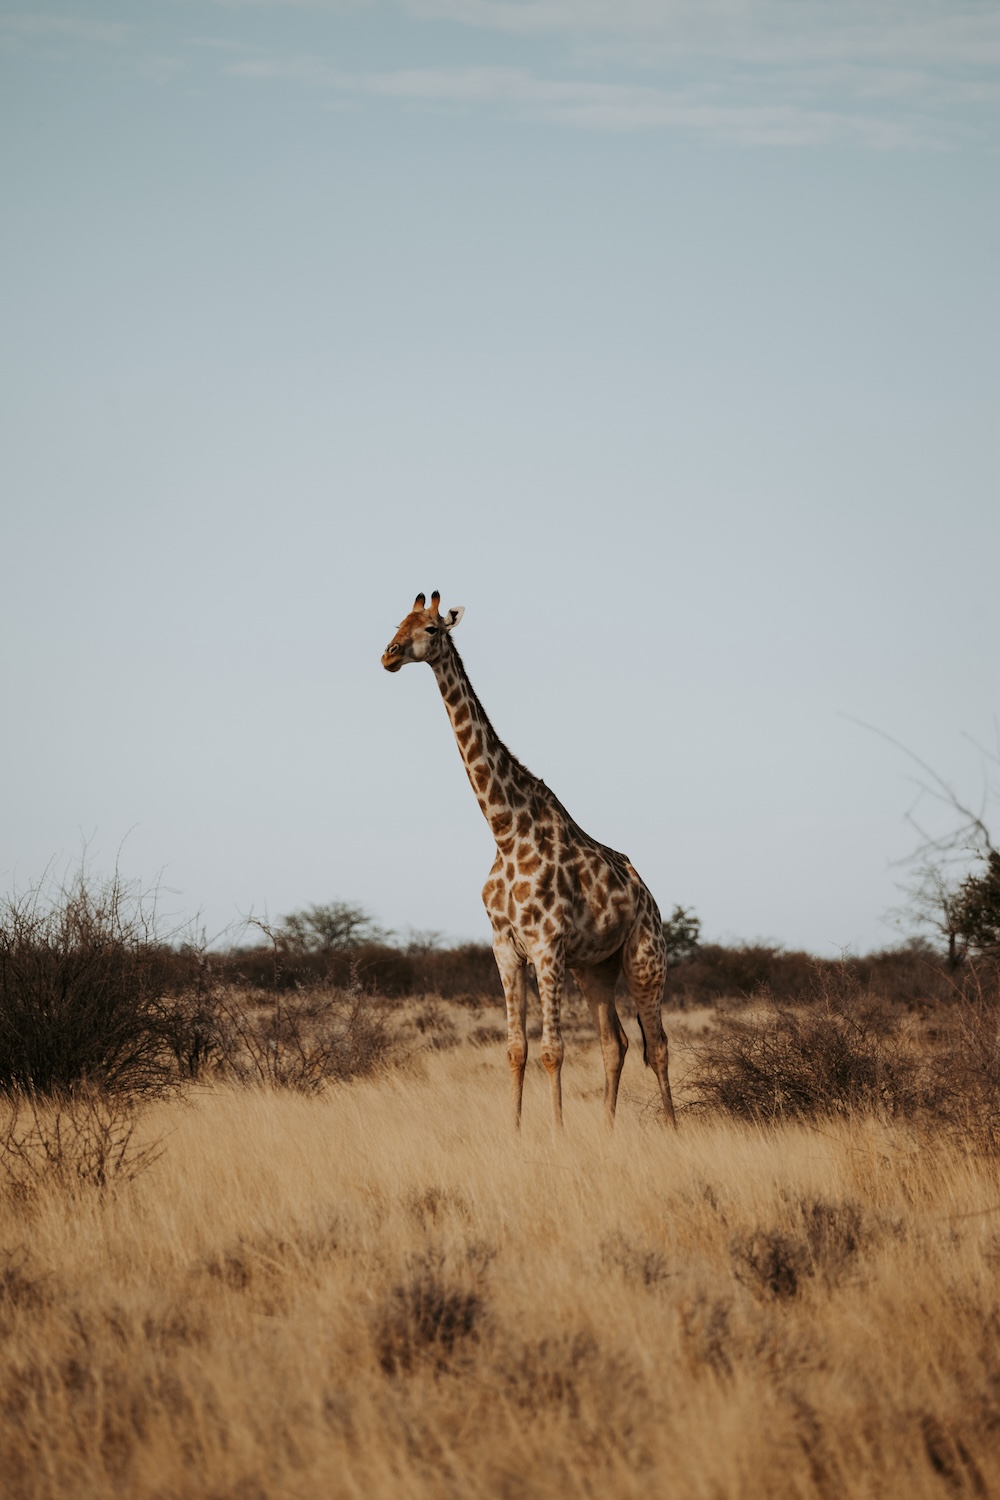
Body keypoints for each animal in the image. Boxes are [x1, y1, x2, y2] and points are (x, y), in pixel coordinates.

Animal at [383, 591, 680, 1128]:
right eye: (399, 621)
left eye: (432, 628)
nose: (388, 655)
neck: (505, 830)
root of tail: (649, 898)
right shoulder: (505, 946)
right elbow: (516, 1049)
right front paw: (516, 1131)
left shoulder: (546, 946)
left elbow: (552, 1051)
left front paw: (557, 1133)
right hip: (595, 968)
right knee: (616, 1043)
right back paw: (607, 1131)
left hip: (646, 959)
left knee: (659, 1044)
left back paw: (671, 1129)